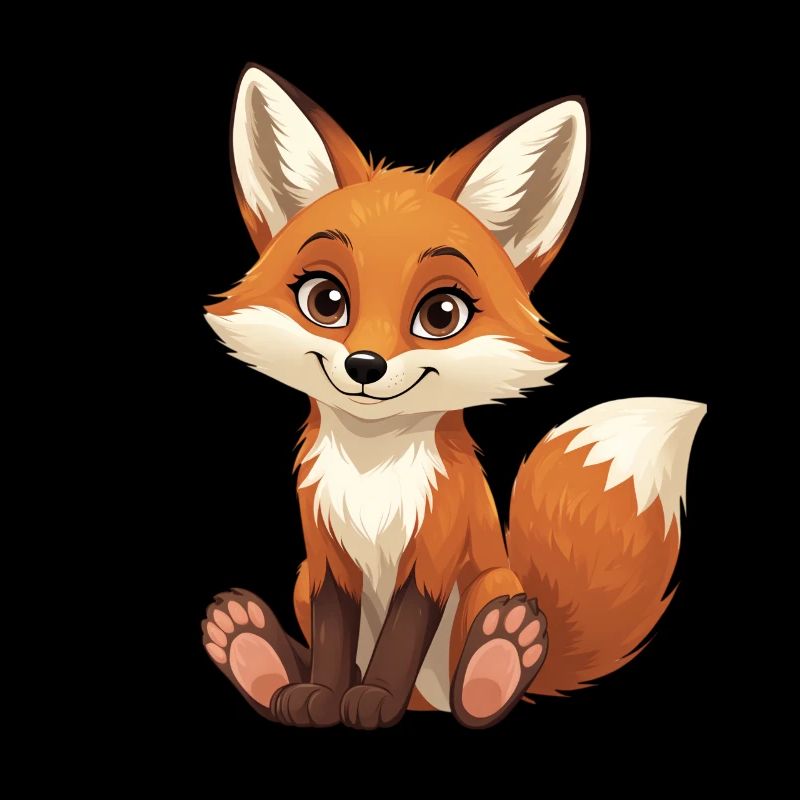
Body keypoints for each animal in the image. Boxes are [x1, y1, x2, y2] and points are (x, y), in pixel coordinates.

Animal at [201, 64, 706, 729]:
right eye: (325, 301)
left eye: (442, 314)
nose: (364, 366)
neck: (372, 474)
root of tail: (429, 703)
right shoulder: (327, 557)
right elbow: (333, 643)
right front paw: (320, 697)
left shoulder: (435, 551)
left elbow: (402, 635)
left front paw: (374, 701)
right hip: (300, 579)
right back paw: (256, 654)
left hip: (491, 587)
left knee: (469, 687)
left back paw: (497, 664)